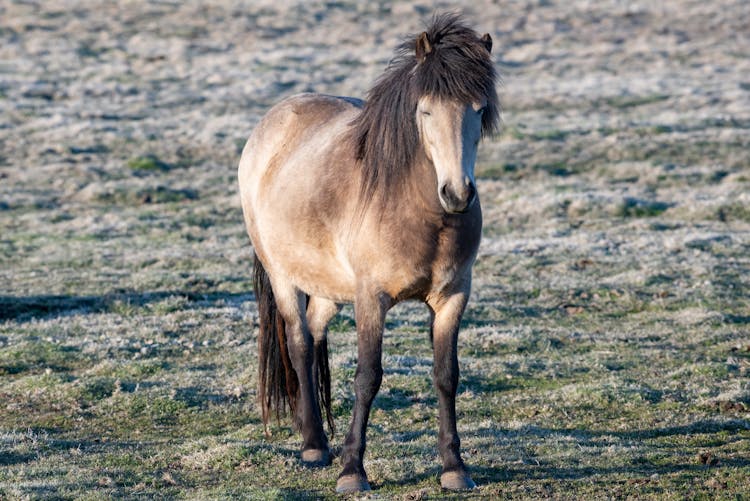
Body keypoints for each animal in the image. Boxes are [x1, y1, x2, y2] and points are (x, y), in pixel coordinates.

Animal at [238, 12, 502, 492]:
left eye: (479, 110)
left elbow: (446, 376)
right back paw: (314, 446)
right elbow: (368, 377)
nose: (457, 194)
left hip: (327, 287)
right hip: (283, 276)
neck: (416, 210)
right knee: (299, 342)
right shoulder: (371, 299)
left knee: (314, 335)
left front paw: (454, 467)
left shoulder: (453, 297)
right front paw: (352, 471)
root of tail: (275, 119)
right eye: (426, 110)